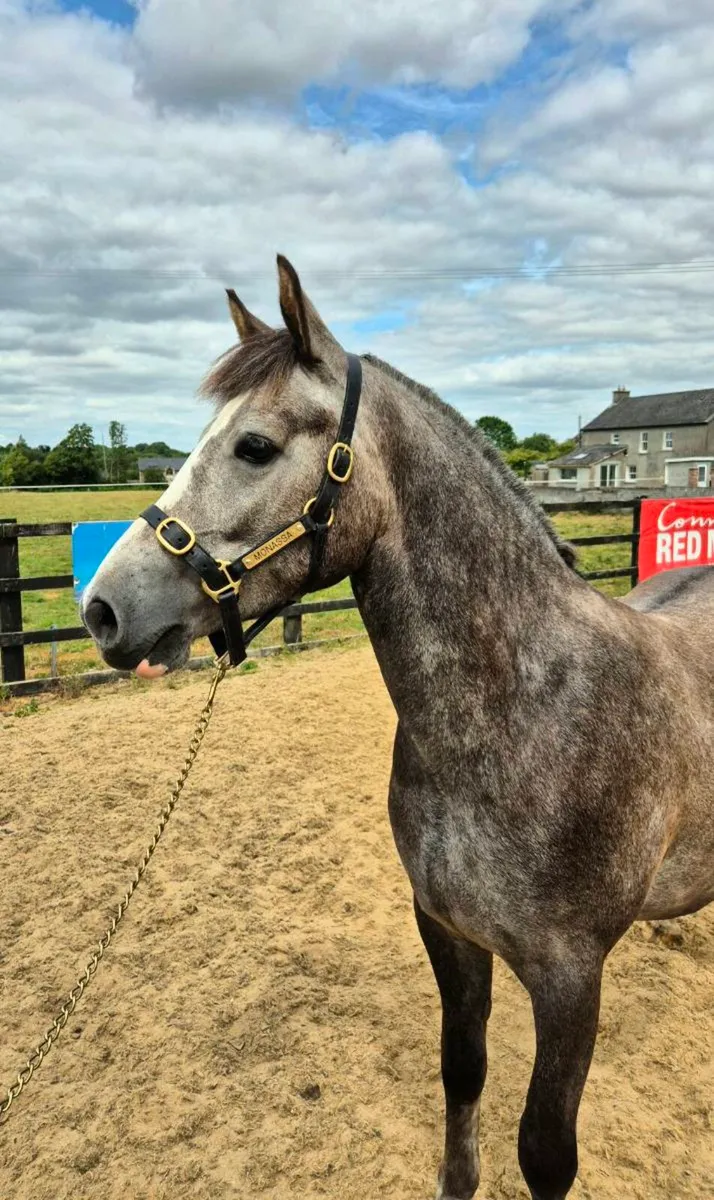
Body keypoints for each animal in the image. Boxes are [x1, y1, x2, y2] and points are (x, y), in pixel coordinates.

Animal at [82, 256, 714, 1200]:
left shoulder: (571, 978)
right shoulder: (446, 933)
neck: (522, 717)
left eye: (254, 446)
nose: (102, 609)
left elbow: (546, 1150)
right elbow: (463, 1076)